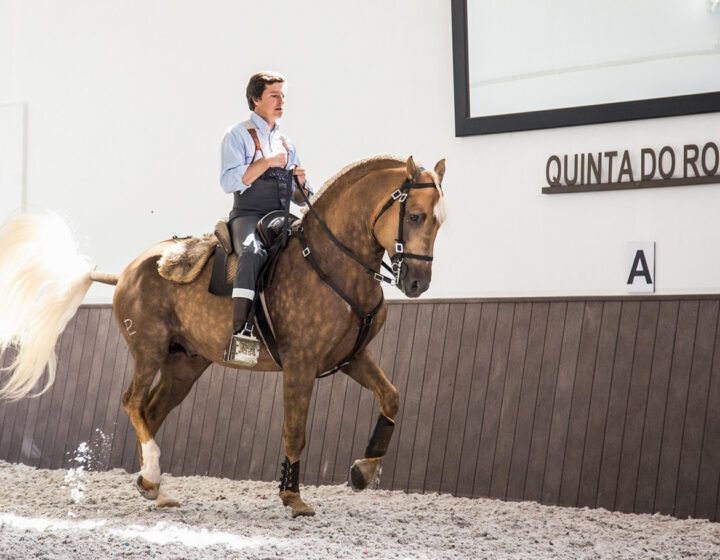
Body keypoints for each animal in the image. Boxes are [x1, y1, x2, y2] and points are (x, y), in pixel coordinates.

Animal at [0, 155, 447, 517]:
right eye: (415, 216)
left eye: (440, 220)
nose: (418, 283)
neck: (332, 262)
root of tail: (125, 271)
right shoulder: (299, 367)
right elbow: (295, 431)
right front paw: (293, 497)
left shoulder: (353, 357)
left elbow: (391, 397)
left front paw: (362, 471)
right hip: (148, 351)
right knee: (133, 403)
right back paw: (153, 474)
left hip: (184, 364)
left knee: (152, 411)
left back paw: (153, 485)